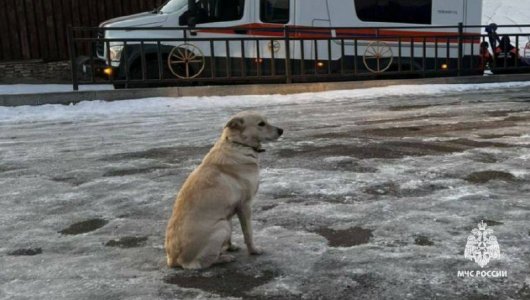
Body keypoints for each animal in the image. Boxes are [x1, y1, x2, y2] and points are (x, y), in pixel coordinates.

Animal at [165, 110, 282, 270]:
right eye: (261, 124)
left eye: (266, 121)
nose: (281, 130)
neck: (239, 145)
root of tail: (173, 260)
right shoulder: (245, 205)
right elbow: (248, 233)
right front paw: (253, 250)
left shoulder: (230, 209)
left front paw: (230, 246)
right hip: (222, 227)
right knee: (200, 263)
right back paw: (223, 258)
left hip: (225, 223)